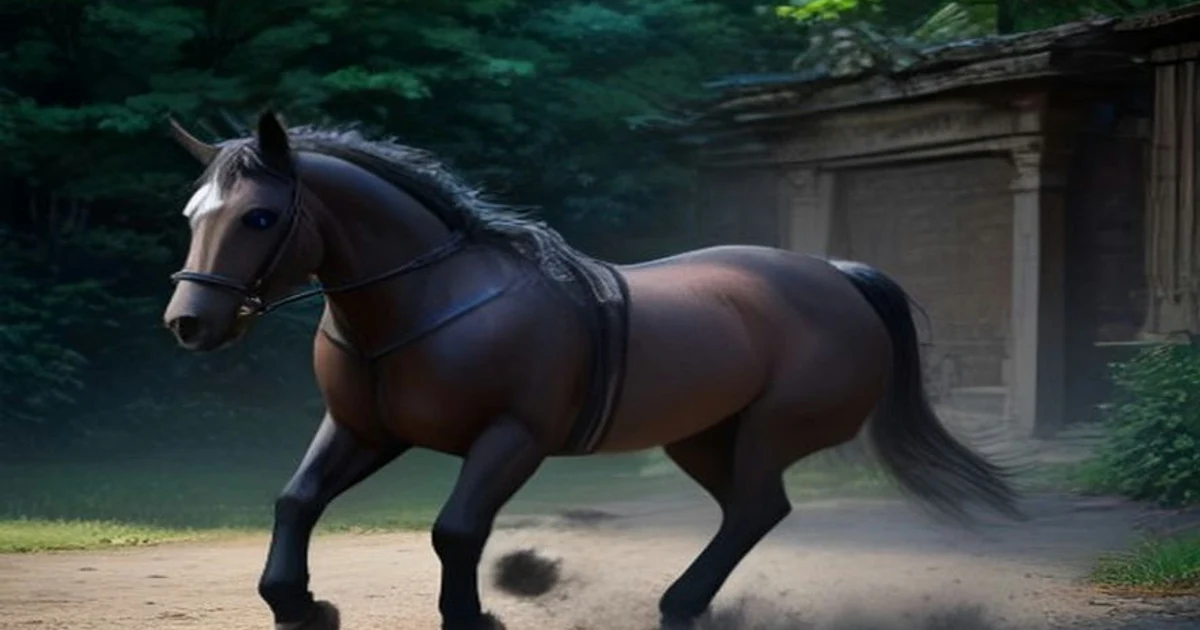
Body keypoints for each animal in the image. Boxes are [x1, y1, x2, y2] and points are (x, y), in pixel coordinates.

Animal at [161, 110, 1022, 630]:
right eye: (193, 215)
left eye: (261, 216)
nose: (189, 324)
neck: (429, 297)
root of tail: (838, 275)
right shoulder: (363, 430)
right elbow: (296, 500)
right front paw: (298, 604)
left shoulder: (512, 438)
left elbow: (456, 529)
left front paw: (472, 615)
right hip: (703, 438)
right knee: (751, 510)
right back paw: (685, 604)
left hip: (771, 430)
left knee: (756, 506)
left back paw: (680, 602)